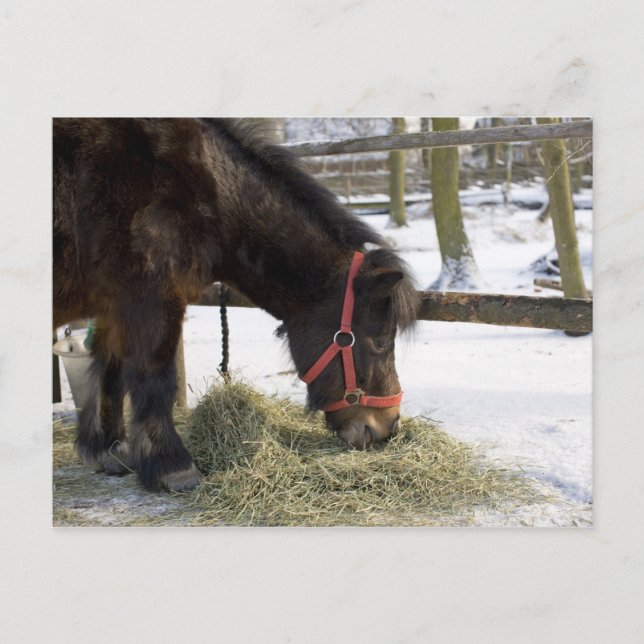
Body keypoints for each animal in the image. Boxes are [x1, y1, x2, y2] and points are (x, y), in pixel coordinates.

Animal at [53, 118, 418, 491]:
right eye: (381, 342)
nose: (389, 426)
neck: (196, 190)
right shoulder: (151, 299)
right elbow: (156, 376)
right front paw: (172, 467)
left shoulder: (113, 305)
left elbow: (109, 369)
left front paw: (109, 449)